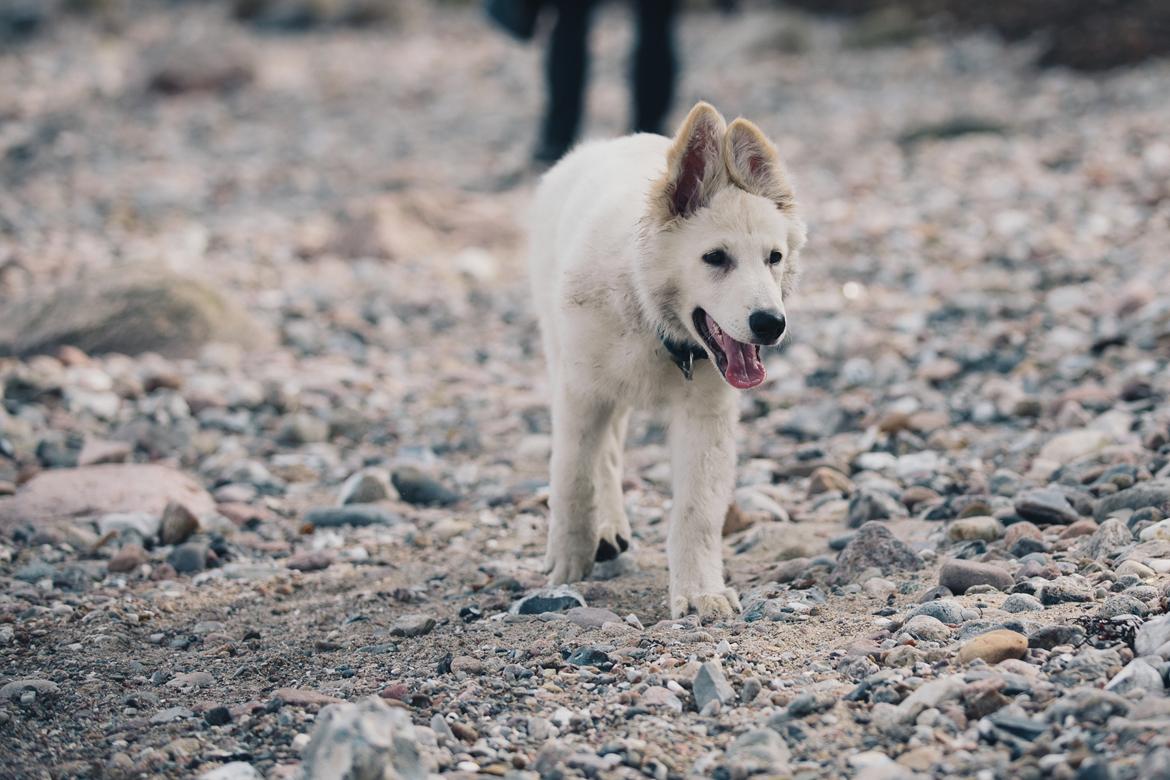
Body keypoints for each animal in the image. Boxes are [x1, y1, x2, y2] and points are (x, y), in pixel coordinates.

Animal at [528, 99, 804, 622]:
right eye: (715, 258)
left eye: (773, 258)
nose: (770, 324)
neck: (653, 322)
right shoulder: (580, 394)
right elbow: (573, 477)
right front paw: (567, 565)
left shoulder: (706, 415)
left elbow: (697, 510)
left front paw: (699, 592)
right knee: (603, 456)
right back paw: (605, 531)